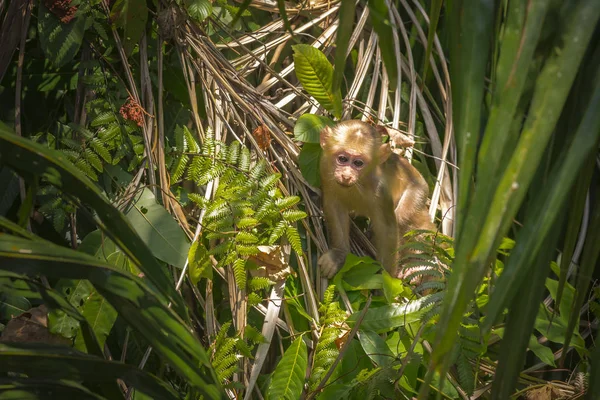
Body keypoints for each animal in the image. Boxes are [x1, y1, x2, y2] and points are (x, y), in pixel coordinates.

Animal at [316, 120, 434, 280]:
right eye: (342, 159)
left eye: (358, 163)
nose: (346, 175)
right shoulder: (325, 167)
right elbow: (334, 208)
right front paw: (338, 255)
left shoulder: (380, 189)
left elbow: (388, 230)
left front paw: (387, 278)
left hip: (418, 198)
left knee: (404, 219)